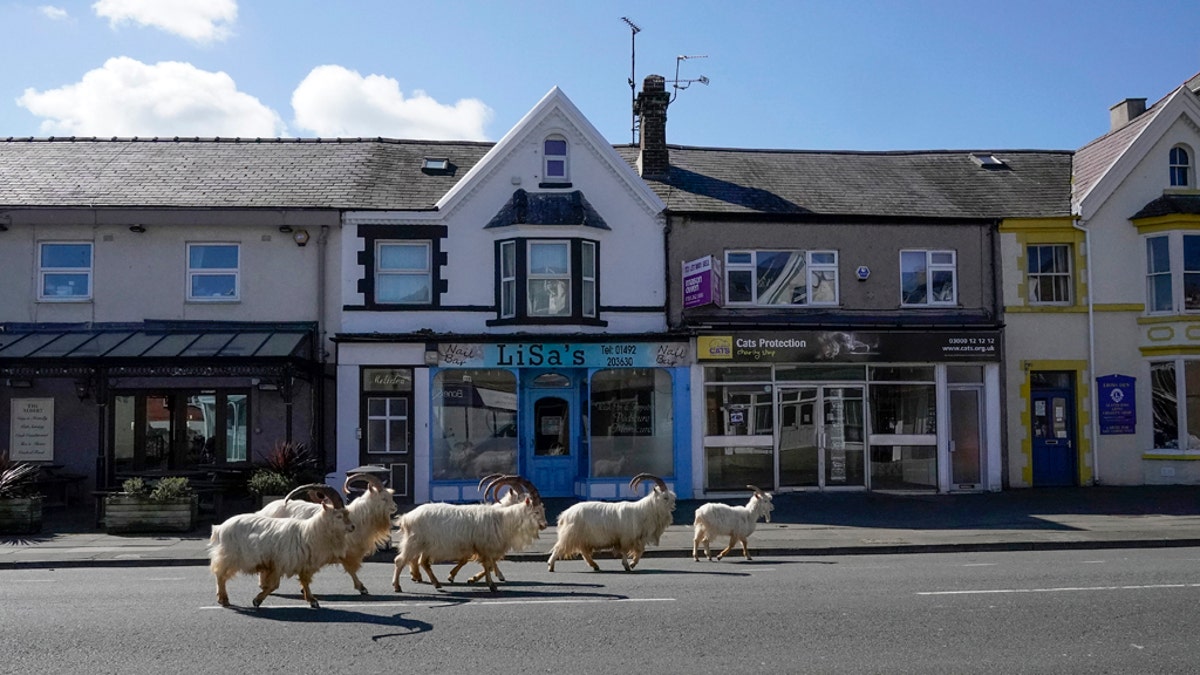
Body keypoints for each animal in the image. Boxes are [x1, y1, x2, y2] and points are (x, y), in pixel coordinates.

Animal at [207, 480, 352, 607]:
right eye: (339, 516)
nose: (352, 527)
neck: (308, 532)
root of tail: (220, 528)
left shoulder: (303, 564)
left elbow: (305, 582)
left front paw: (312, 600)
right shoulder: (279, 563)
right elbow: (275, 585)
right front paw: (257, 600)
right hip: (229, 556)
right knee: (220, 575)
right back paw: (223, 599)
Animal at [259, 470, 398, 590]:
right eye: (383, 498)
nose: (395, 507)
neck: (358, 517)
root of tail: (264, 510)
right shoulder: (344, 550)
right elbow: (350, 568)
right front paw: (361, 587)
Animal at [391, 473, 547, 588]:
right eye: (537, 511)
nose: (544, 525)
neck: (502, 518)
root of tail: (406, 518)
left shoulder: (480, 548)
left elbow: (485, 564)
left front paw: (479, 580)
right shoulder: (484, 546)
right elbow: (487, 564)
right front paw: (490, 584)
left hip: (426, 546)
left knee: (421, 562)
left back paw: (434, 582)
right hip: (414, 542)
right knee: (400, 560)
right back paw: (397, 586)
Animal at [549, 470, 681, 569]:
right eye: (665, 497)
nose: (674, 507)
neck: (643, 510)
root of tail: (564, 515)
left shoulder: (637, 538)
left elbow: (640, 551)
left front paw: (632, 564)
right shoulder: (626, 538)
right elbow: (625, 551)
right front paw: (628, 565)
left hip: (582, 538)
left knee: (584, 552)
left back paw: (595, 566)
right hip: (571, 535)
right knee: (559, 548)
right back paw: (551, 566)